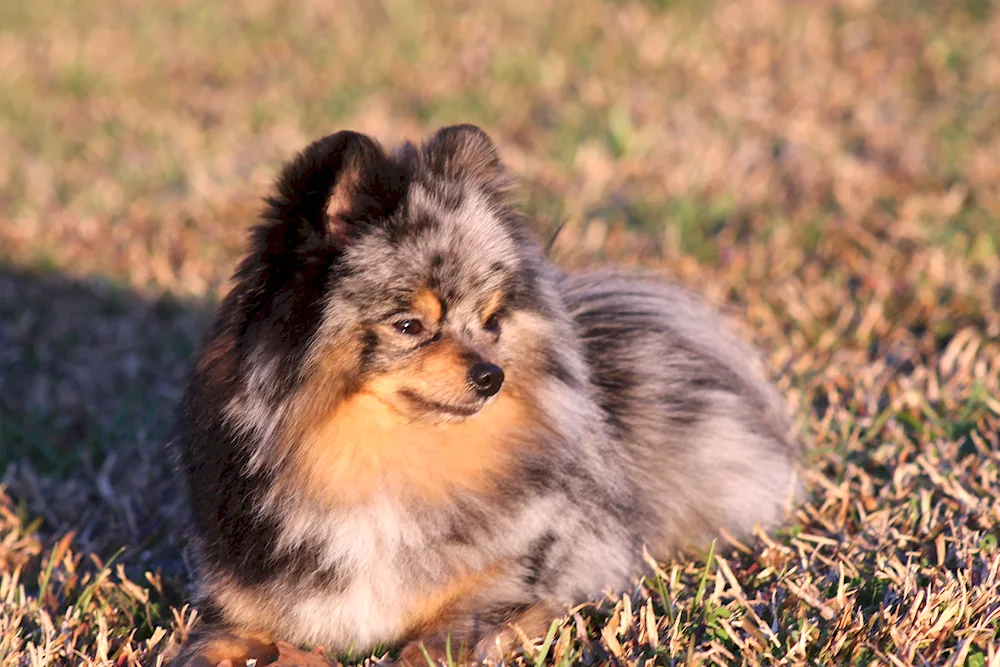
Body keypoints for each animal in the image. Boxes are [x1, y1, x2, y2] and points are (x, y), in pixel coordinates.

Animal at [170, 125, 796, 667]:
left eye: (491, 321)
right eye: (409, 326)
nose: (491, 375)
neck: (383, 463)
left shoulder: (502, 589)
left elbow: (440, 639)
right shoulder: (244, 607)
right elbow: (208, 643)